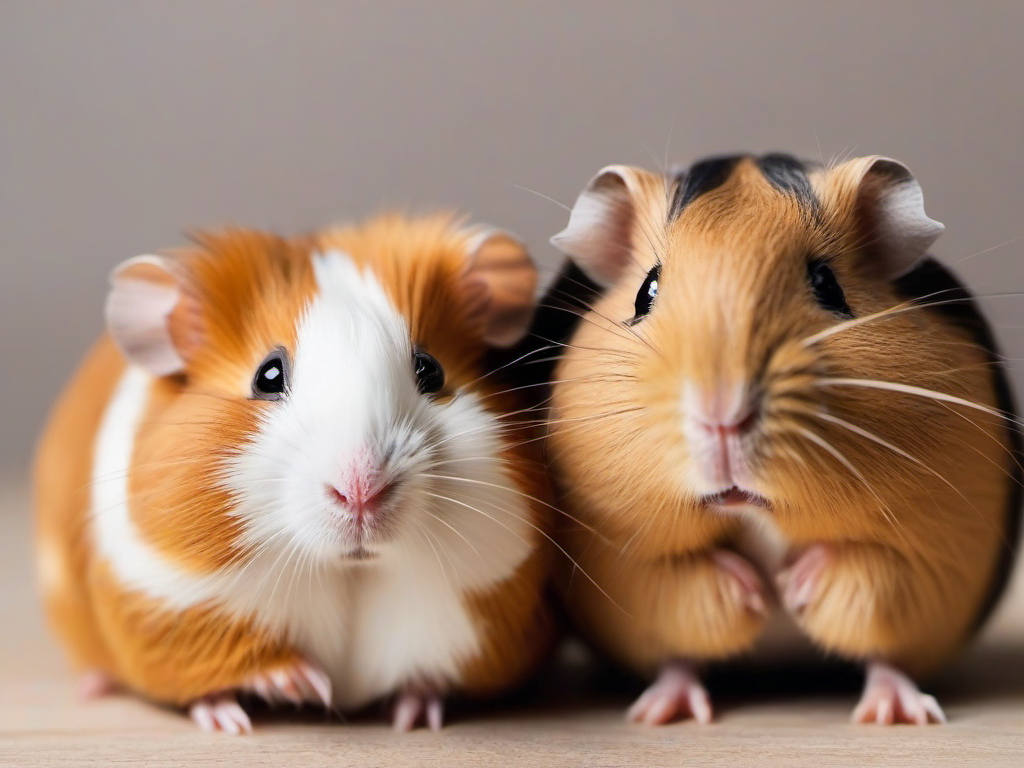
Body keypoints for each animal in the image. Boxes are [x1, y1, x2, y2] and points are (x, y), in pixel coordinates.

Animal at [33, 215, 555, 733]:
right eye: (267, 376)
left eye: (430, 370)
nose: (361, 490)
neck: (350, 571)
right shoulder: (168, 601)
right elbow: (223, 665)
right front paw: (295, 691)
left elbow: (432, 676)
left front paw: (411, 717)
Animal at [544, 153, 1021, 725]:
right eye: (646, 292)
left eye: (827, 284)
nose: (721, 414)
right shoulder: (621, 567)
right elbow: (688, 584)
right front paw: (755, 591)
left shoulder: (936, 553)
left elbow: (866, 575)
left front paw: (794, 585)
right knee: (678, 662)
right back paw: (663, 713)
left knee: (886, 660)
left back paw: (896, 713)